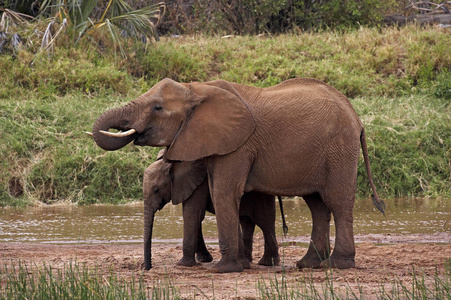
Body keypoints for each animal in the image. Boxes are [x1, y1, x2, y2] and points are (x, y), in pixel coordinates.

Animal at [145, 150, 286, 270]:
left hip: (261, 196)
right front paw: (203, 260)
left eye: (156, 190)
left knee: (265, 223)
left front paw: (184, 264)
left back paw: (267, 263)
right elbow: (196, 216)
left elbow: (193, 213)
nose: (147, 267)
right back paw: (249, 262)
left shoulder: (198, 182)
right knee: (247, 222)